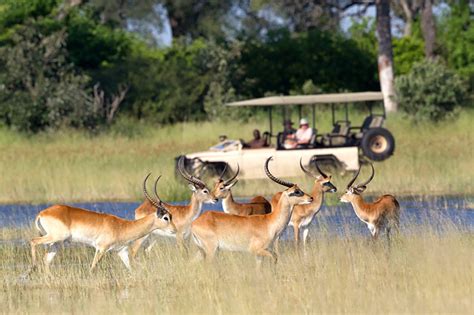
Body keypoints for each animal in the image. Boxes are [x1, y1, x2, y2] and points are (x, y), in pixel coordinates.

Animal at [31, 175, 176, 274]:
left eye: (171, 216)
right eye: (166, 217)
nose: (174, 229)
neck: (122, 226)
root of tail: (42, 213)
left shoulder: (122, 251)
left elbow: (131, 269)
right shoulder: (101, 248)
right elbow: (92, 268)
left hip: (56, 243)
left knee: (46, 261)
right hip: (55, 237)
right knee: (33, 241)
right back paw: (33, 266)